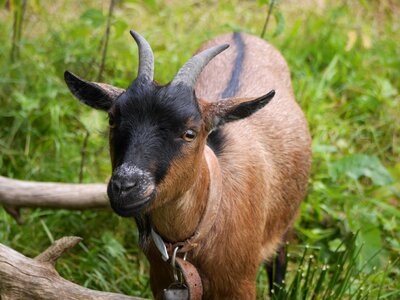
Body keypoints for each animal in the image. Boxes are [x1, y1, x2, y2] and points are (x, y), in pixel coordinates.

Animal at [64, 31, 310, 300]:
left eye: (190, 133)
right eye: (112, 119)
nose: (125, 187)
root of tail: (241, 34)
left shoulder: (240, 285)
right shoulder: (159, 279)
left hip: (285, 223)